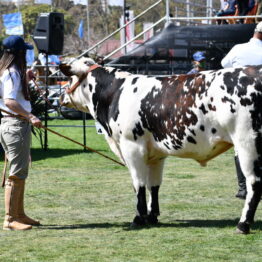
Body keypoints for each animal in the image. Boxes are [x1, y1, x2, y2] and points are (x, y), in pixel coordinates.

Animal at [58, 57, 262, 233]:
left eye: (69, 77)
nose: (61, 98)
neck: (117, 92)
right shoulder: (156, 154)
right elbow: (153, 185)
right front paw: (152, 216)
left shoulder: (132, 147)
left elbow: (138, 184)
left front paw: (138, 218)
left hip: (246, 142)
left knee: (254, 182)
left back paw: (243, 225)